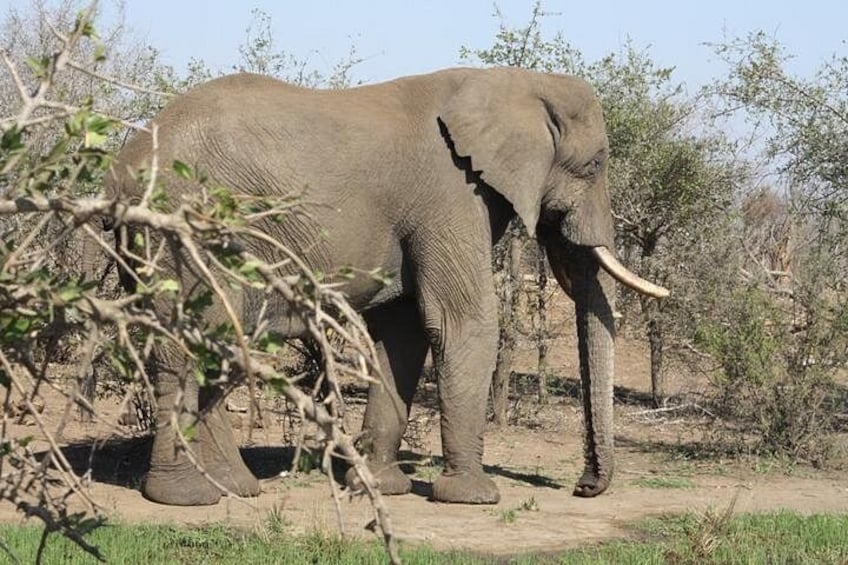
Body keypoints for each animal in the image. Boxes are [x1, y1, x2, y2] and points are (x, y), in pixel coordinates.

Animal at [98, 66, 668, 506]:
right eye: (595, 165)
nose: (582, 485)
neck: (510, 81)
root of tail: (121, 167)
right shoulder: (452, 193)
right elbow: (462, 323)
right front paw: (473, 498)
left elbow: (402, 333)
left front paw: (381, 486)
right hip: (183, 227)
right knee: (190, 336)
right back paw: (185, 497)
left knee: (217, 338)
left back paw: (235, 488)